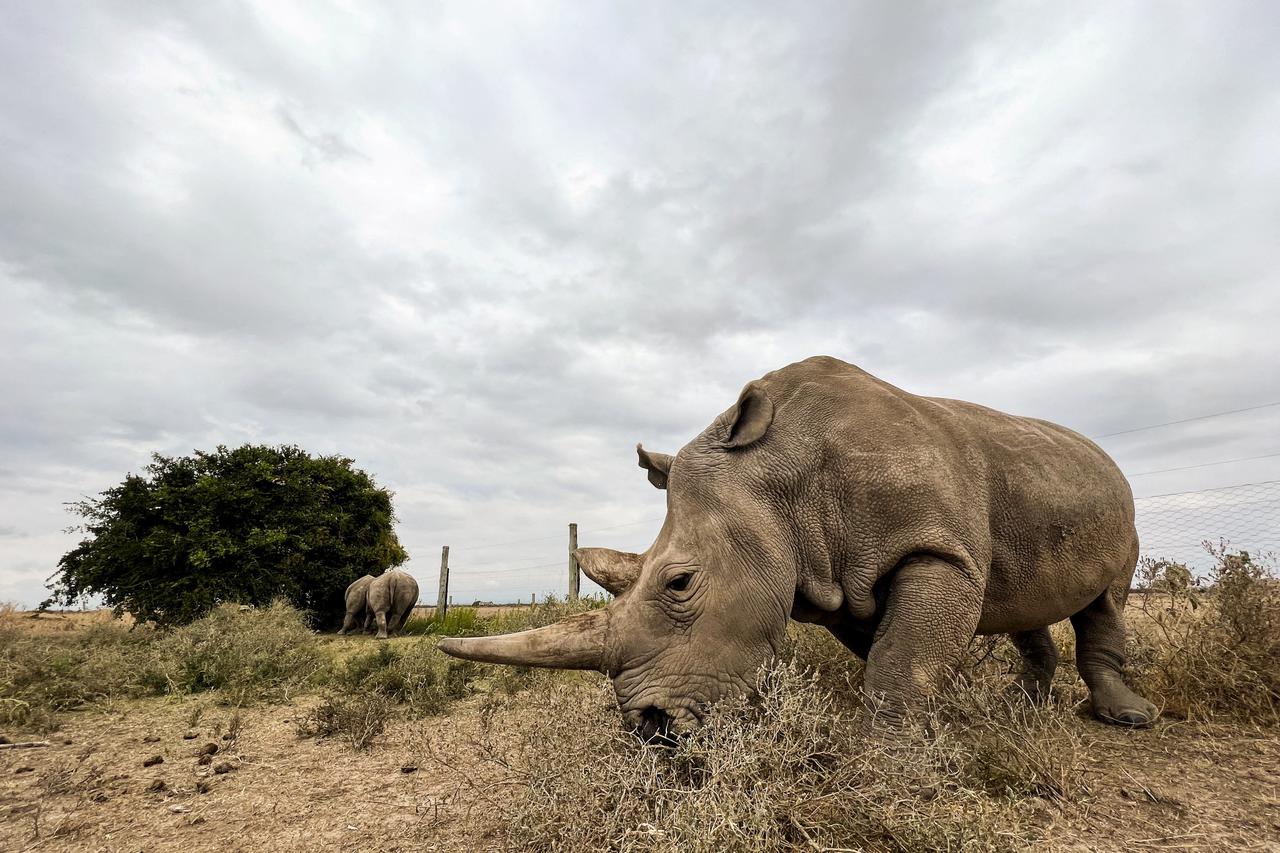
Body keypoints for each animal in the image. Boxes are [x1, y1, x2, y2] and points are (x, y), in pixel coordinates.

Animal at [442, 356, 1162, 732]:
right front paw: (941, 718)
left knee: (1107, 599)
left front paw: (893, 759)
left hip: (1121, 502)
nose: (649, 727)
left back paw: (1127, 719)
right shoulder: (838, 581)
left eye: (679, 583)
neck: (782, 477)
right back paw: (1021, 711)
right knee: (1020, 598)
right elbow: (891, 652)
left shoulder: (934, 550)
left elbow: (899, 663)